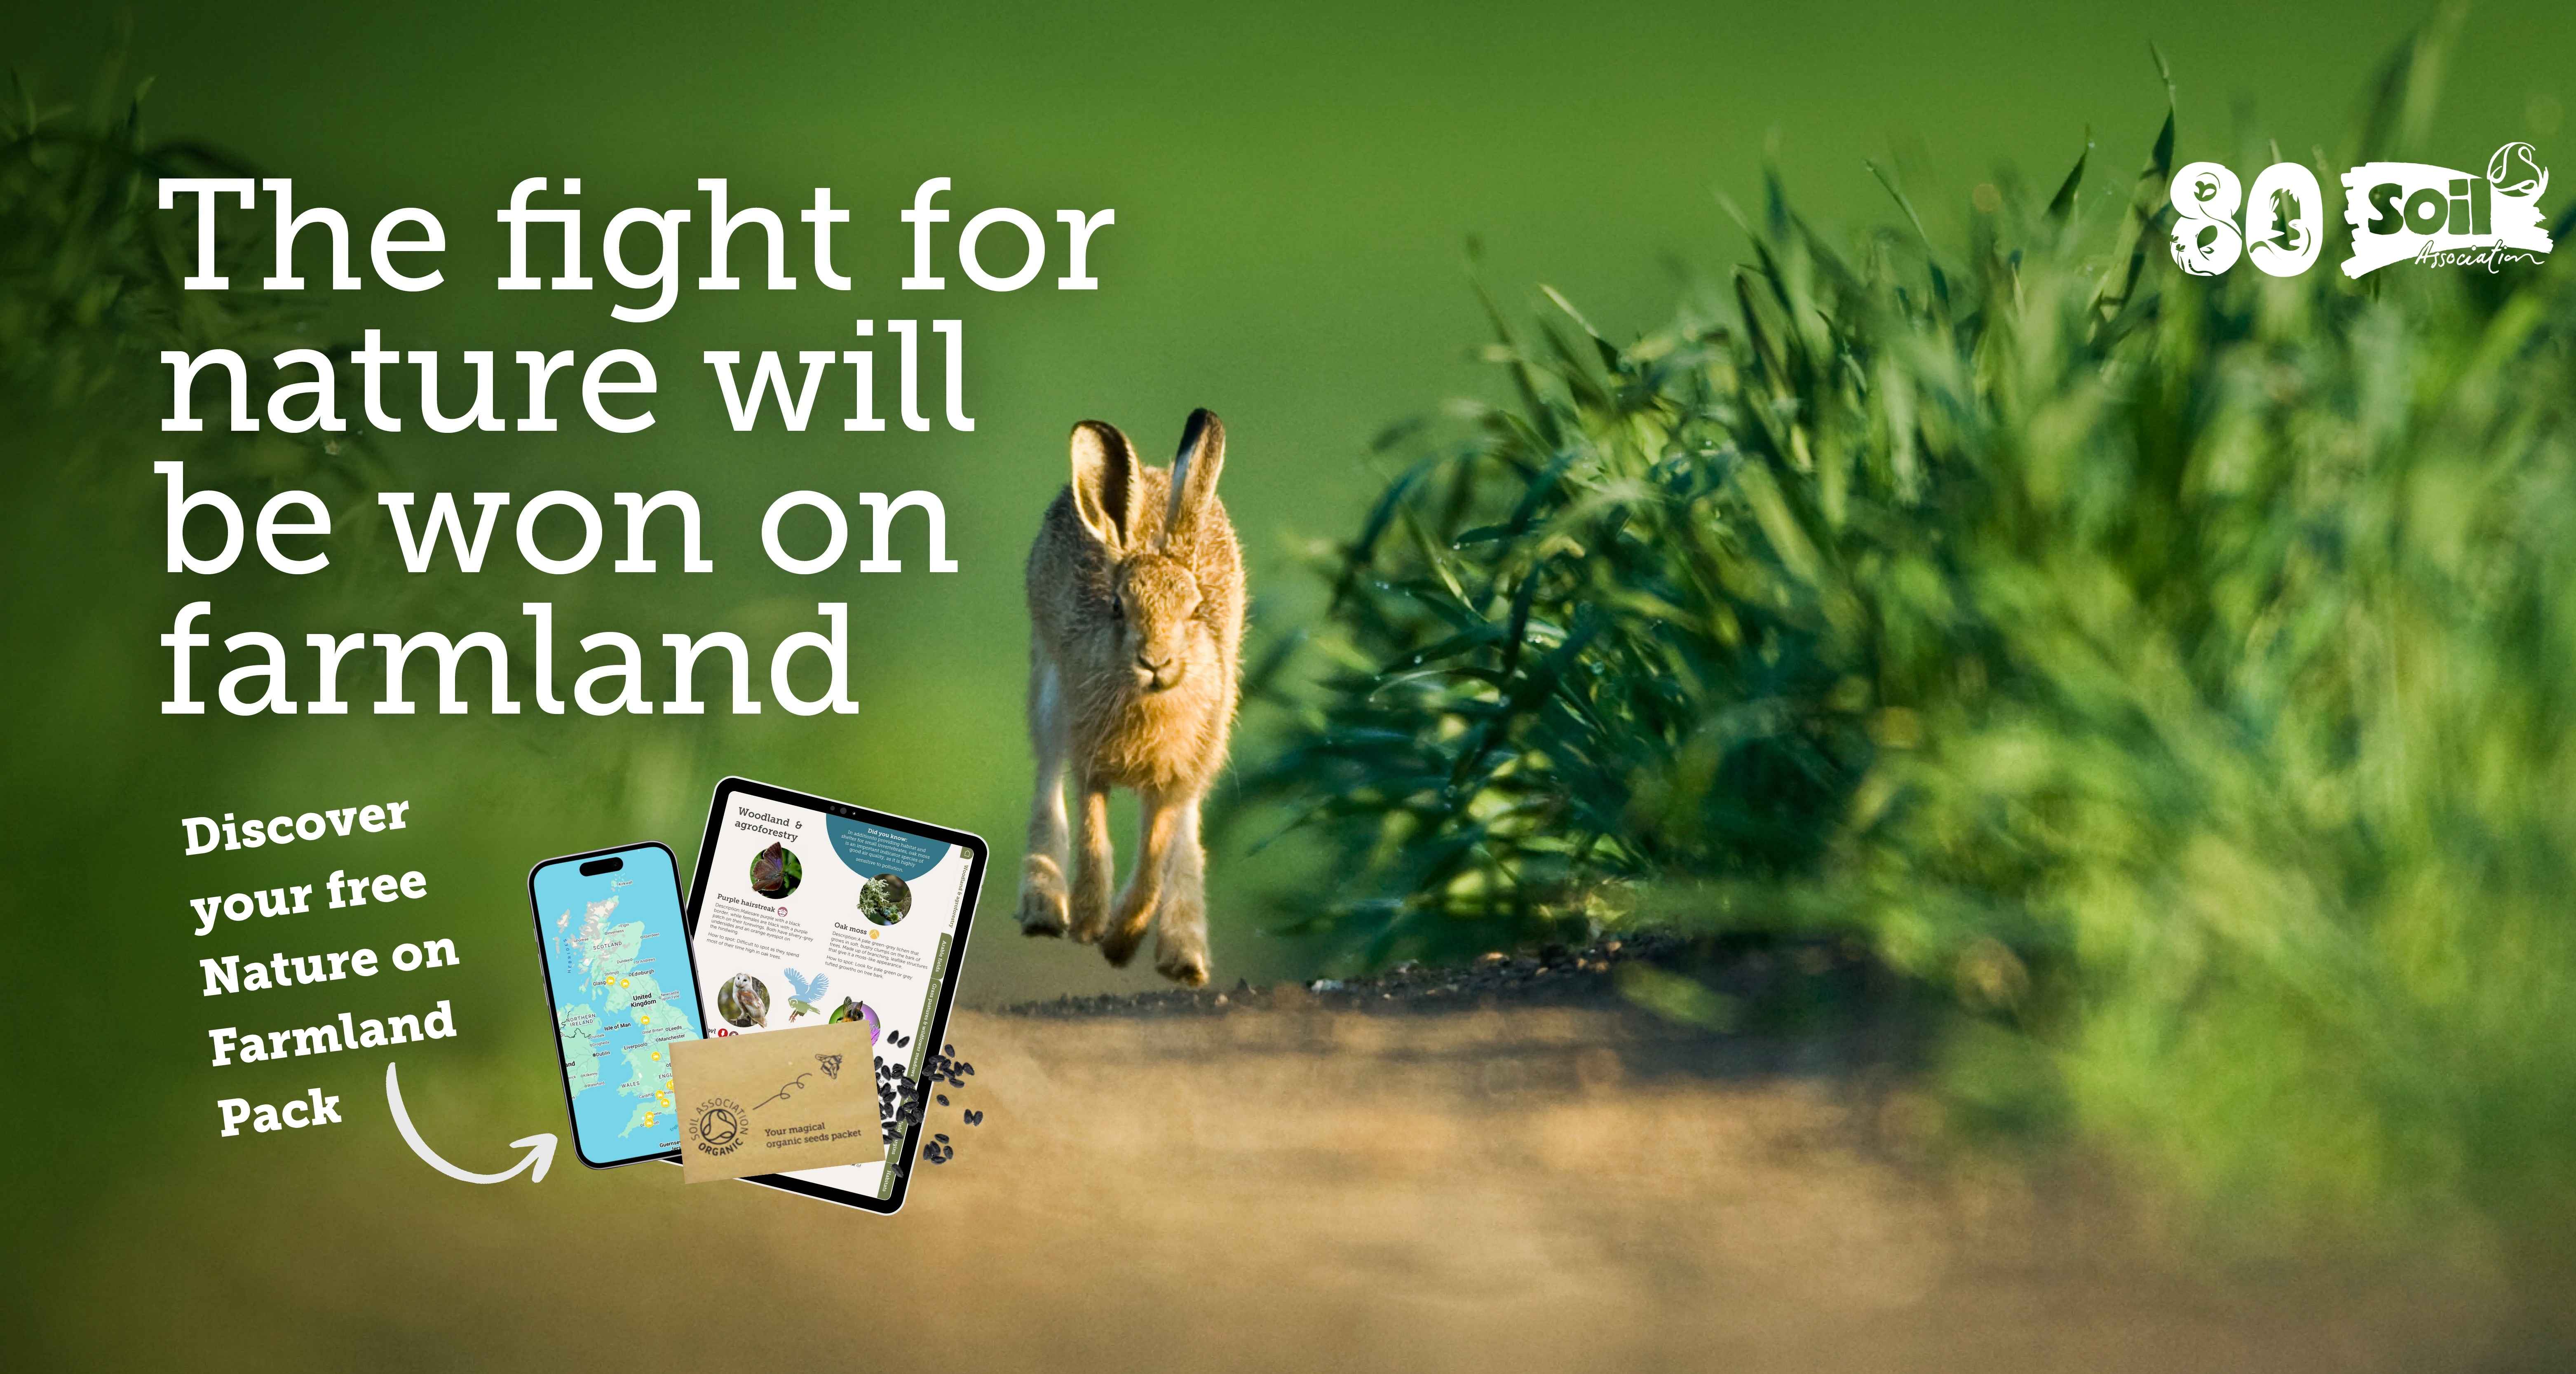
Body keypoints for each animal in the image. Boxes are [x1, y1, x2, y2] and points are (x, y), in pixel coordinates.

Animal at [1015, 409, 1243, 986]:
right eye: (1117, 608)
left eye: (1194, 609)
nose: (1156, 662)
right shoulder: (1089, 760)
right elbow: (1094, 836)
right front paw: (1089, 924)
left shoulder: (1174, 778)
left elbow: (1153, 863)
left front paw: (1120, 941)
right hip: (1049, 693)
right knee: (1047, 779)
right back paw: (1044, 910)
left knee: (1184, 836)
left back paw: (1184, 955)